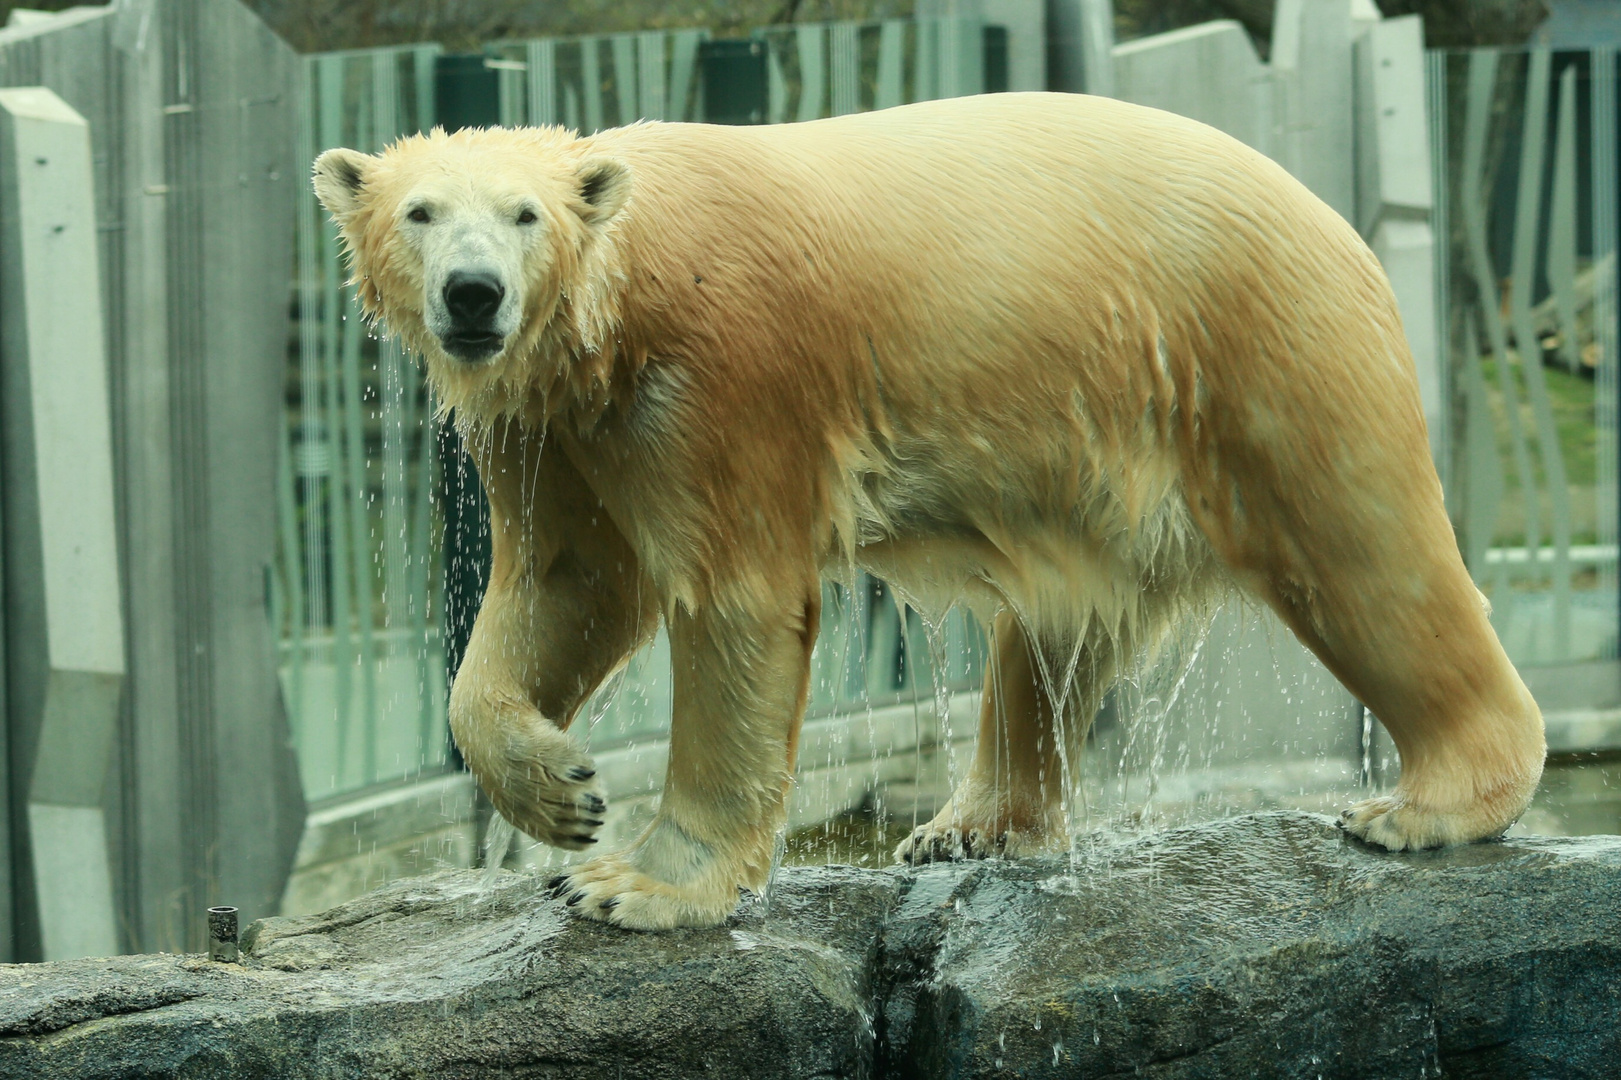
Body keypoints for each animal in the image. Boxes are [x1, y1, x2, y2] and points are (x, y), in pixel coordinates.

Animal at [316, 92, 1543, 927]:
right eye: (419, 211)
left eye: (522, 214)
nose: (473, 295)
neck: (628, 297)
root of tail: (1337, 224)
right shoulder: (559, 422)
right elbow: (570, 582)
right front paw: (561, 794)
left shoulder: (723, 376)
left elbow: (732, 603)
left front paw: (632, 886)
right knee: (1058, 628)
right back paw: (964, 828)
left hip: (1262, 348)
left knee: (1363, 554)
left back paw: (1421, 808)